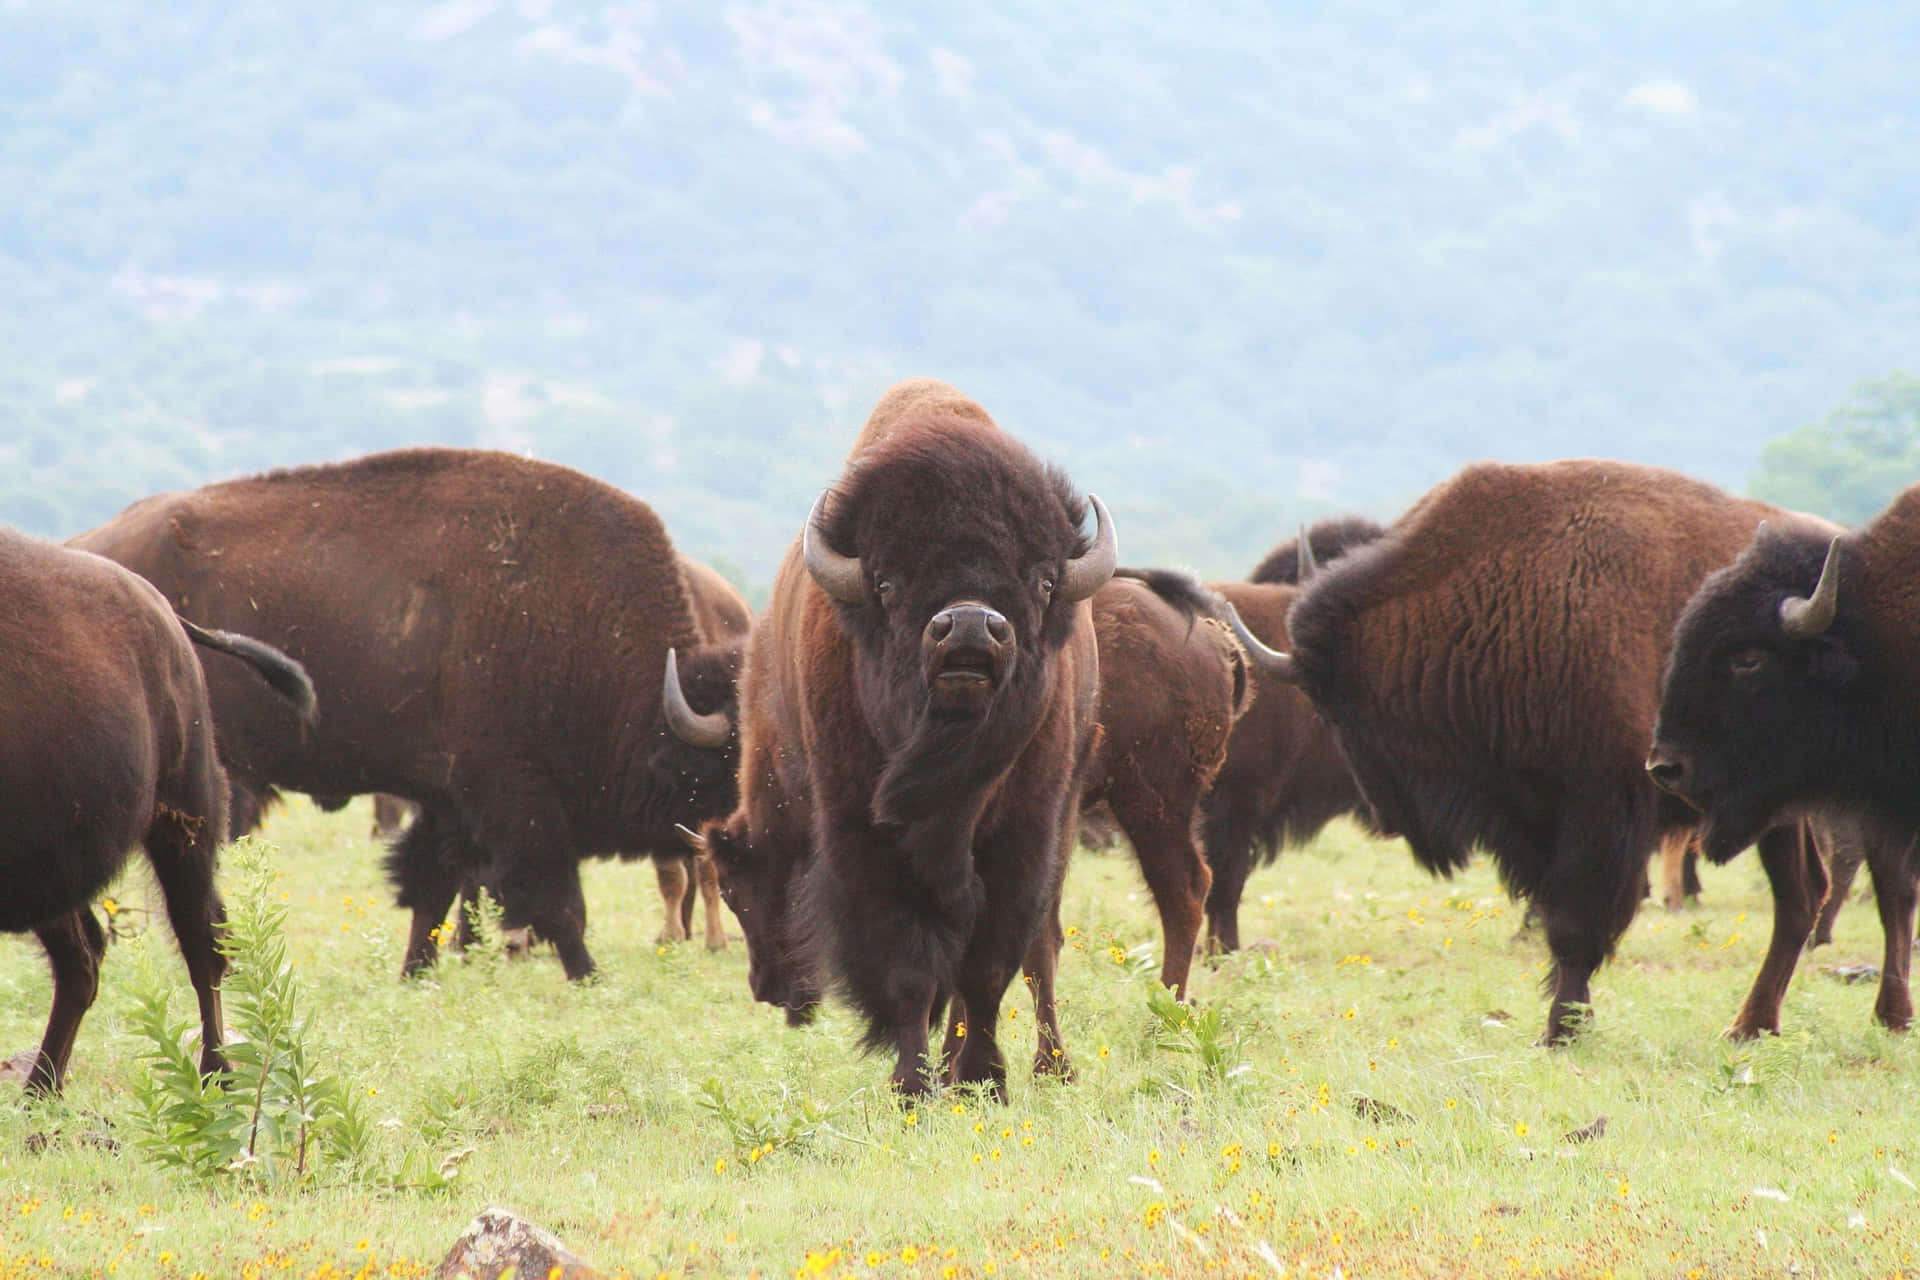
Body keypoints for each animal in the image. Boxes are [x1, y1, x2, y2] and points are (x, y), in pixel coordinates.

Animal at [2, 529, 311, 1090]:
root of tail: (166, 614)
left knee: (202, 945)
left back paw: (216, 1075)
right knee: (83, 959)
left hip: (185, 822)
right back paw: (40, 1089)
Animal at [71, 450, 741, 982]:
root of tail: (88, 549)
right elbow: (557, 902)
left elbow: (433, 891)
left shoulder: (452, 804)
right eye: (733, 764)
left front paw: (416, 972)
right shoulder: (517, 798)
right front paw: (588, 975)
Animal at [695, 379, 1113, 1105]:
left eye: (1043, 580)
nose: (970, 626)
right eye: (886, 582)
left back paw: (1047, 1067)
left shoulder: (1023, 839)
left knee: (1039, 950)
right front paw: (914, 1085)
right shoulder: (866, 841)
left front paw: (983, 1077)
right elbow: (912, 969)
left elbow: (988, 967)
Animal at [1267, 460, 1866, 1043]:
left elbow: (1576, 927)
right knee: (1801, 895)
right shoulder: (1536, 822)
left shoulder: (1600, 812)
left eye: (1343, 708)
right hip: (1776, 813)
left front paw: (1561, 1029)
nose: (1384, 816)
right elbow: (1556, 920)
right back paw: (1751, 1025)